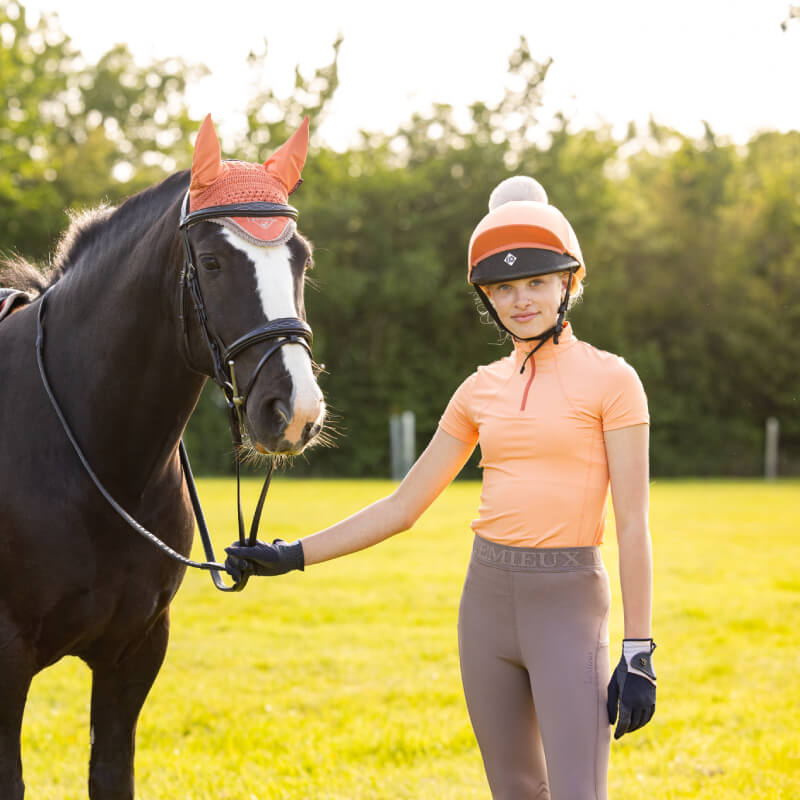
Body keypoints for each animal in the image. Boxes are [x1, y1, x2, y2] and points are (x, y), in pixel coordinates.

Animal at [0, 115, 324, 796]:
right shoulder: (4, 658)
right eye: (213, 261)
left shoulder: (135, 653)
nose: (295, 409)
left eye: (301, 258)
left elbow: (111, 773)